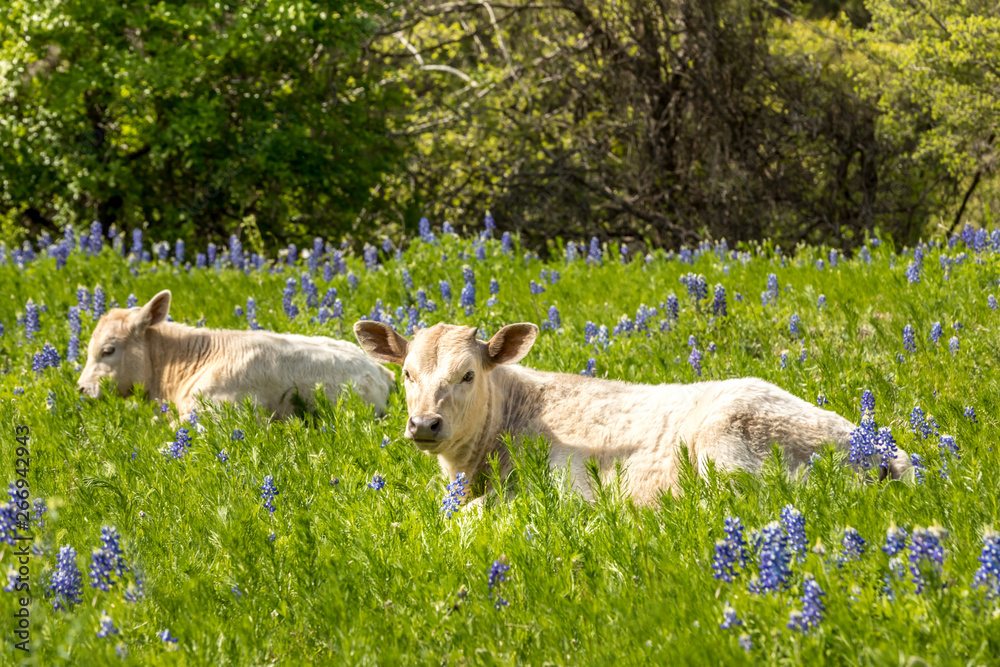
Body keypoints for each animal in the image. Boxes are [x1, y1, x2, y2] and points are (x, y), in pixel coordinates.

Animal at [354, 321, 910, 506]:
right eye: (408, 374)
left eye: (468, 374)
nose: (424, 424)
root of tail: (876, 444)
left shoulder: (569, 483)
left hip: (729, 449)